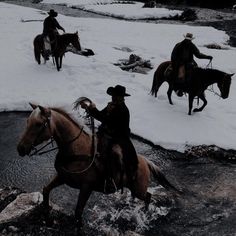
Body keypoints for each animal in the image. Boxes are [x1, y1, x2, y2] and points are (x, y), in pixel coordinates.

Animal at [17, 103, 179, 230]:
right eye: (27, 121)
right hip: (133, 188)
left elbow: (78, 212)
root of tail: (146, 161)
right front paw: (47, 216)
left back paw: (145, 212)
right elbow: (46, 190)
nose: (20, 149)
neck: (76, 150)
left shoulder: (86, 187)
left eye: (38, 124)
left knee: (148, 196)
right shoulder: (62, 177)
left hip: (139, 189)